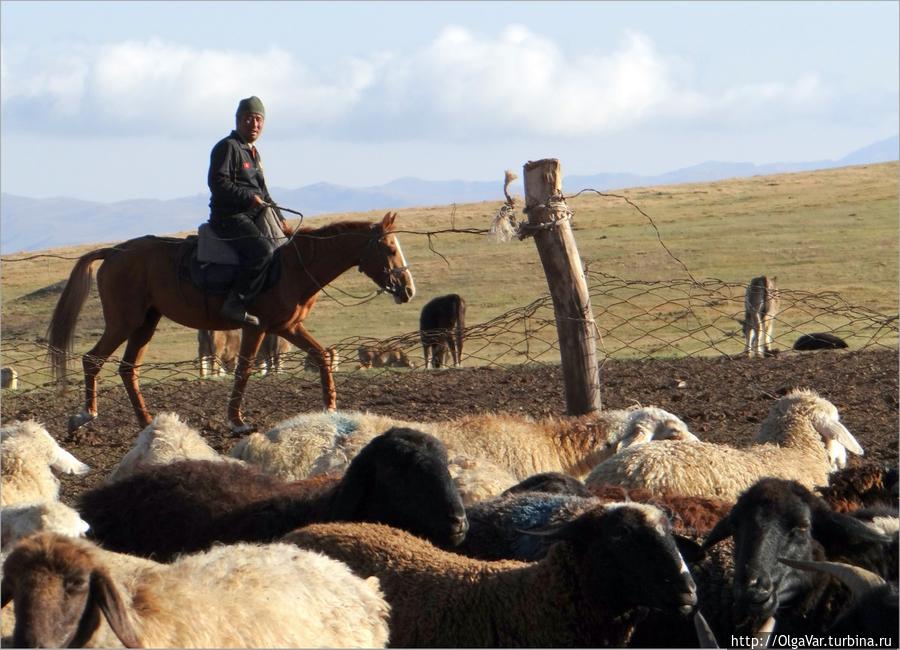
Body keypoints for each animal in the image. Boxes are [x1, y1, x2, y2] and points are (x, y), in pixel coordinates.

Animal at [49, 213, 414, 436]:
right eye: (389, 248)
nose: (408, 290)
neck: (293, 266)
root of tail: (114, 252)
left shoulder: (286, 327)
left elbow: (321, 356)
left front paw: (331, 408)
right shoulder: (258, 327)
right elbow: (244, 370)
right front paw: (237, 421)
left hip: (145, 324)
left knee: (127, 369)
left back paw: (146, 422)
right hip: (124, 322)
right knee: (91, 360)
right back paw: (85, 415)